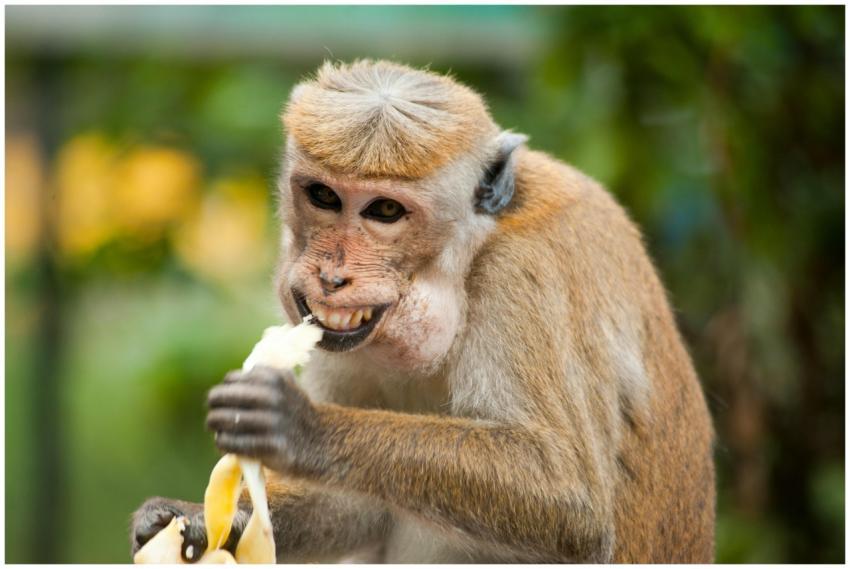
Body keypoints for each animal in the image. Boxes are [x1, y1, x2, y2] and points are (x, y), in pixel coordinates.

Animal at [131, 59, 715, 563]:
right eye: (323, 196)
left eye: (385, 210)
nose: (331, 277)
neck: (470, 254)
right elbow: (355, 505)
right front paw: (193, 520)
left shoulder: (523, 277)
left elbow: (570, 499)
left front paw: (301, 426)